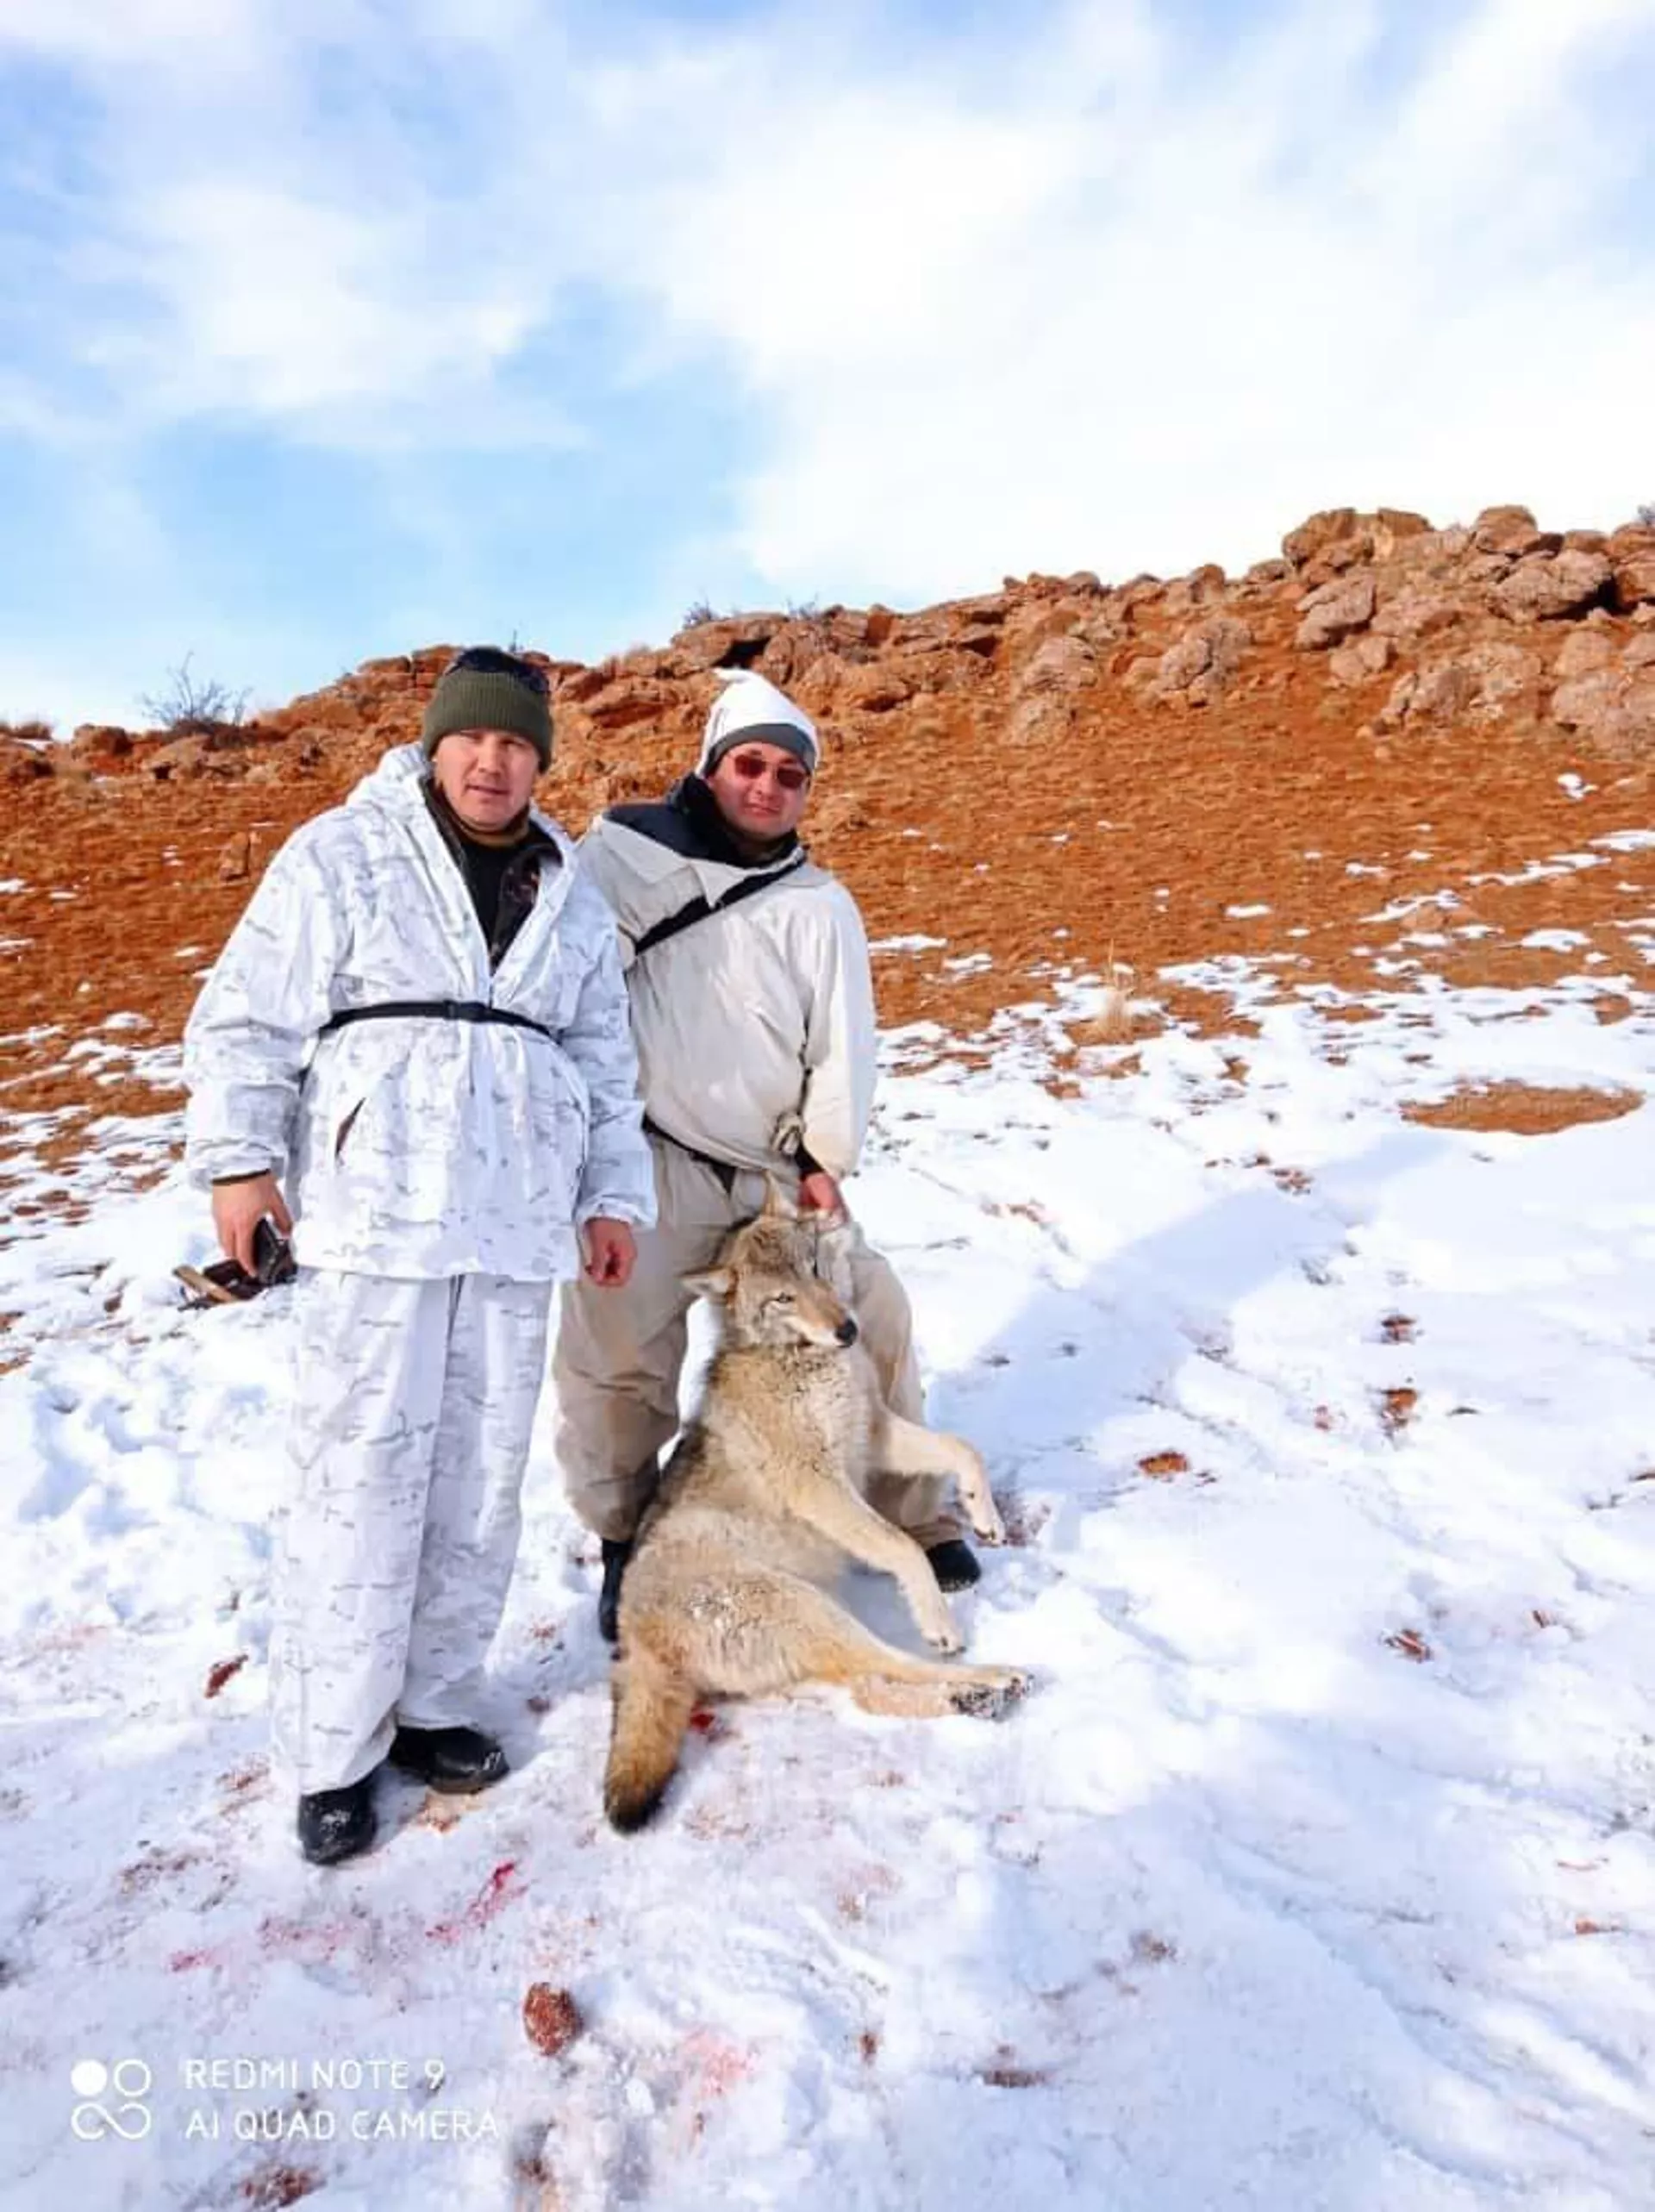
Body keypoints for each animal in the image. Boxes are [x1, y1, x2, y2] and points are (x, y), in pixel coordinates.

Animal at [602, 1185, 1027, 1840]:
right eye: (782, 1297)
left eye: (814, 1269)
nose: (848, 1330)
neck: (802, 1360)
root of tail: (634, 1645)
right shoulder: (818, 1484)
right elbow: (903, 1547)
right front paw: (938, 1618)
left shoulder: (872, 1437)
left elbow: (961, 1449)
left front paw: (985, 1518)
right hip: (806, 1609)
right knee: (884, 1671)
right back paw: (989, 1678)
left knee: (870, 1686)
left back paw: (979, 1698)